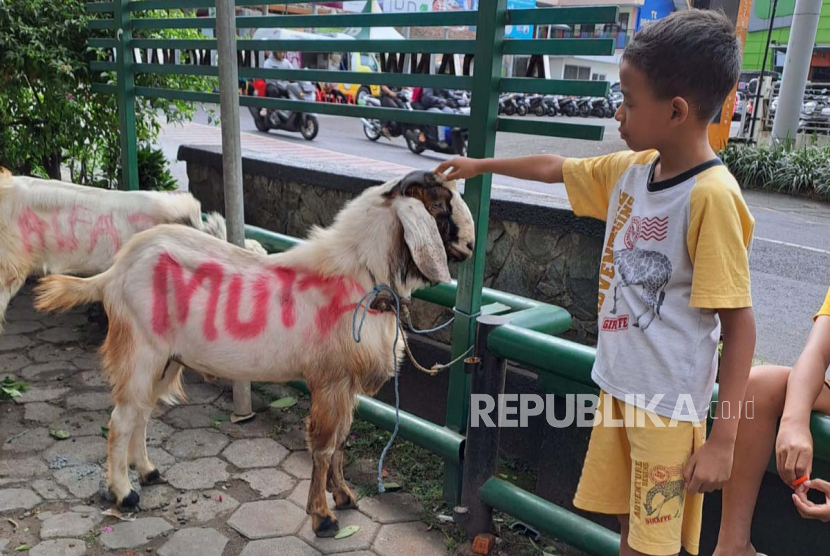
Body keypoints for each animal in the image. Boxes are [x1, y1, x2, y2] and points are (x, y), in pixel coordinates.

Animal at [34, 170, 474, 540]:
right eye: (440, 207)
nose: (470, 246)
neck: (357, 275)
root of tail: (114, 273)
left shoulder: (346, 384)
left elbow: (341, 442)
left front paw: (344, 495)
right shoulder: (330, 380)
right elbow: (324, 447)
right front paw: (323, 518)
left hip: (165, 360)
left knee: (141, 414)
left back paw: (148, 471)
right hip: (141, 351)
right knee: (120, 421)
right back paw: (124, 493)